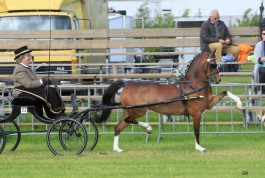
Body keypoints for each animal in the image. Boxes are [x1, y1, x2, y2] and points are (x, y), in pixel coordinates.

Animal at [96, 52, 241, 152]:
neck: (192, 85)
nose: (218, 79)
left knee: (119, 126)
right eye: (212, 64)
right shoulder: (196, 113)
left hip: (129, 110)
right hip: (139, 110)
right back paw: (148, 128)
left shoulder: (209, 104)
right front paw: (199, 148)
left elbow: (225, 92)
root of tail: (126, 85)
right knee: (129, 120)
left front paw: (239, 104)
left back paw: (117, 149)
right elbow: (196, 131)